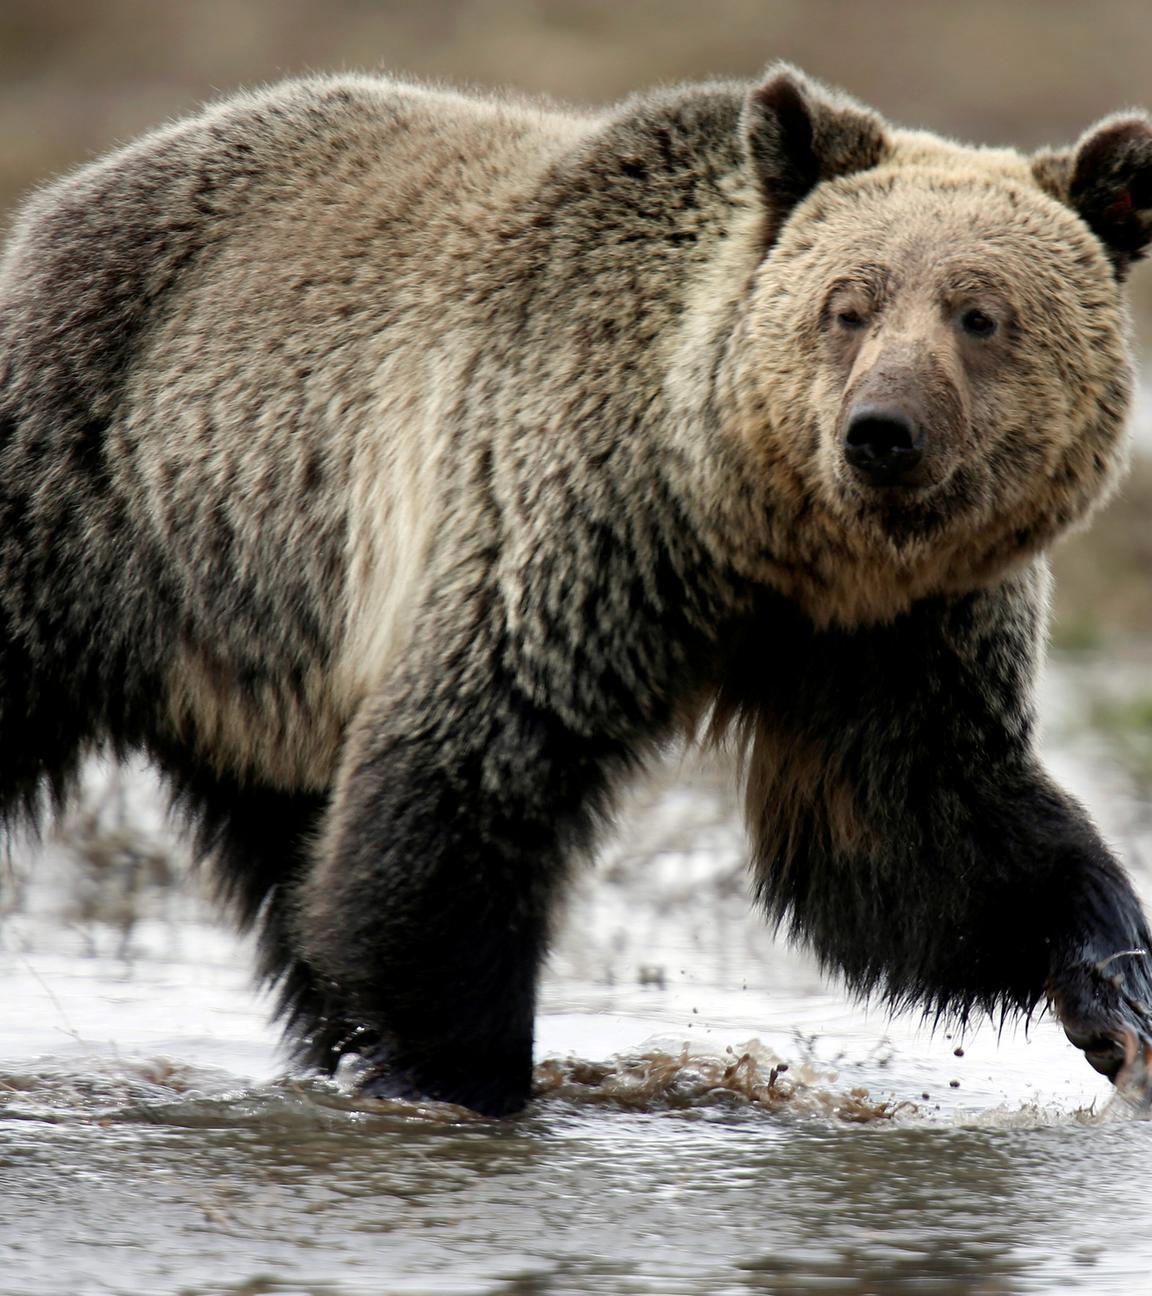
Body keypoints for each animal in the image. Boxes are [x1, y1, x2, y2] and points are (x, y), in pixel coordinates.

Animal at [1, 64, 1151, 1117]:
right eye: (848, 306)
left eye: (980, 314)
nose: (882, 433)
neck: (764, 539)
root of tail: (62, 199)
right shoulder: (571, 527)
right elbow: (465, 782)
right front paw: (458, 1076)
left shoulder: (895, 633)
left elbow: (921, 835)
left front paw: (1115, 984)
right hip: (95, 489)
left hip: (261, 645)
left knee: (289, 849)